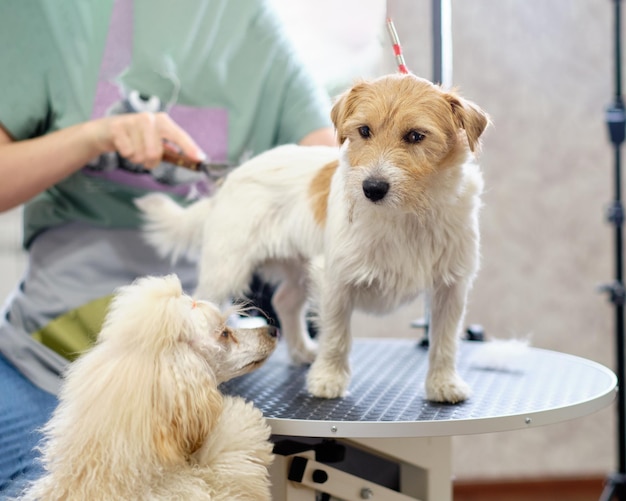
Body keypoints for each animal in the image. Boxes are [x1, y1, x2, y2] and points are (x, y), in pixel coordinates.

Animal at [135, 73, 488, 402]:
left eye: (415, 136)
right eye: (364, 131)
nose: (372, 189)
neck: (407, 214)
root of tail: (229, 180)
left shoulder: (451, 287)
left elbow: (444, 340)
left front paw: (444, 383)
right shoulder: (335, 280)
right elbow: (336, 336)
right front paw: (328, 379)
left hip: (297, 267)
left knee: (285, 301)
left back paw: (302, 351)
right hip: (226, 270)